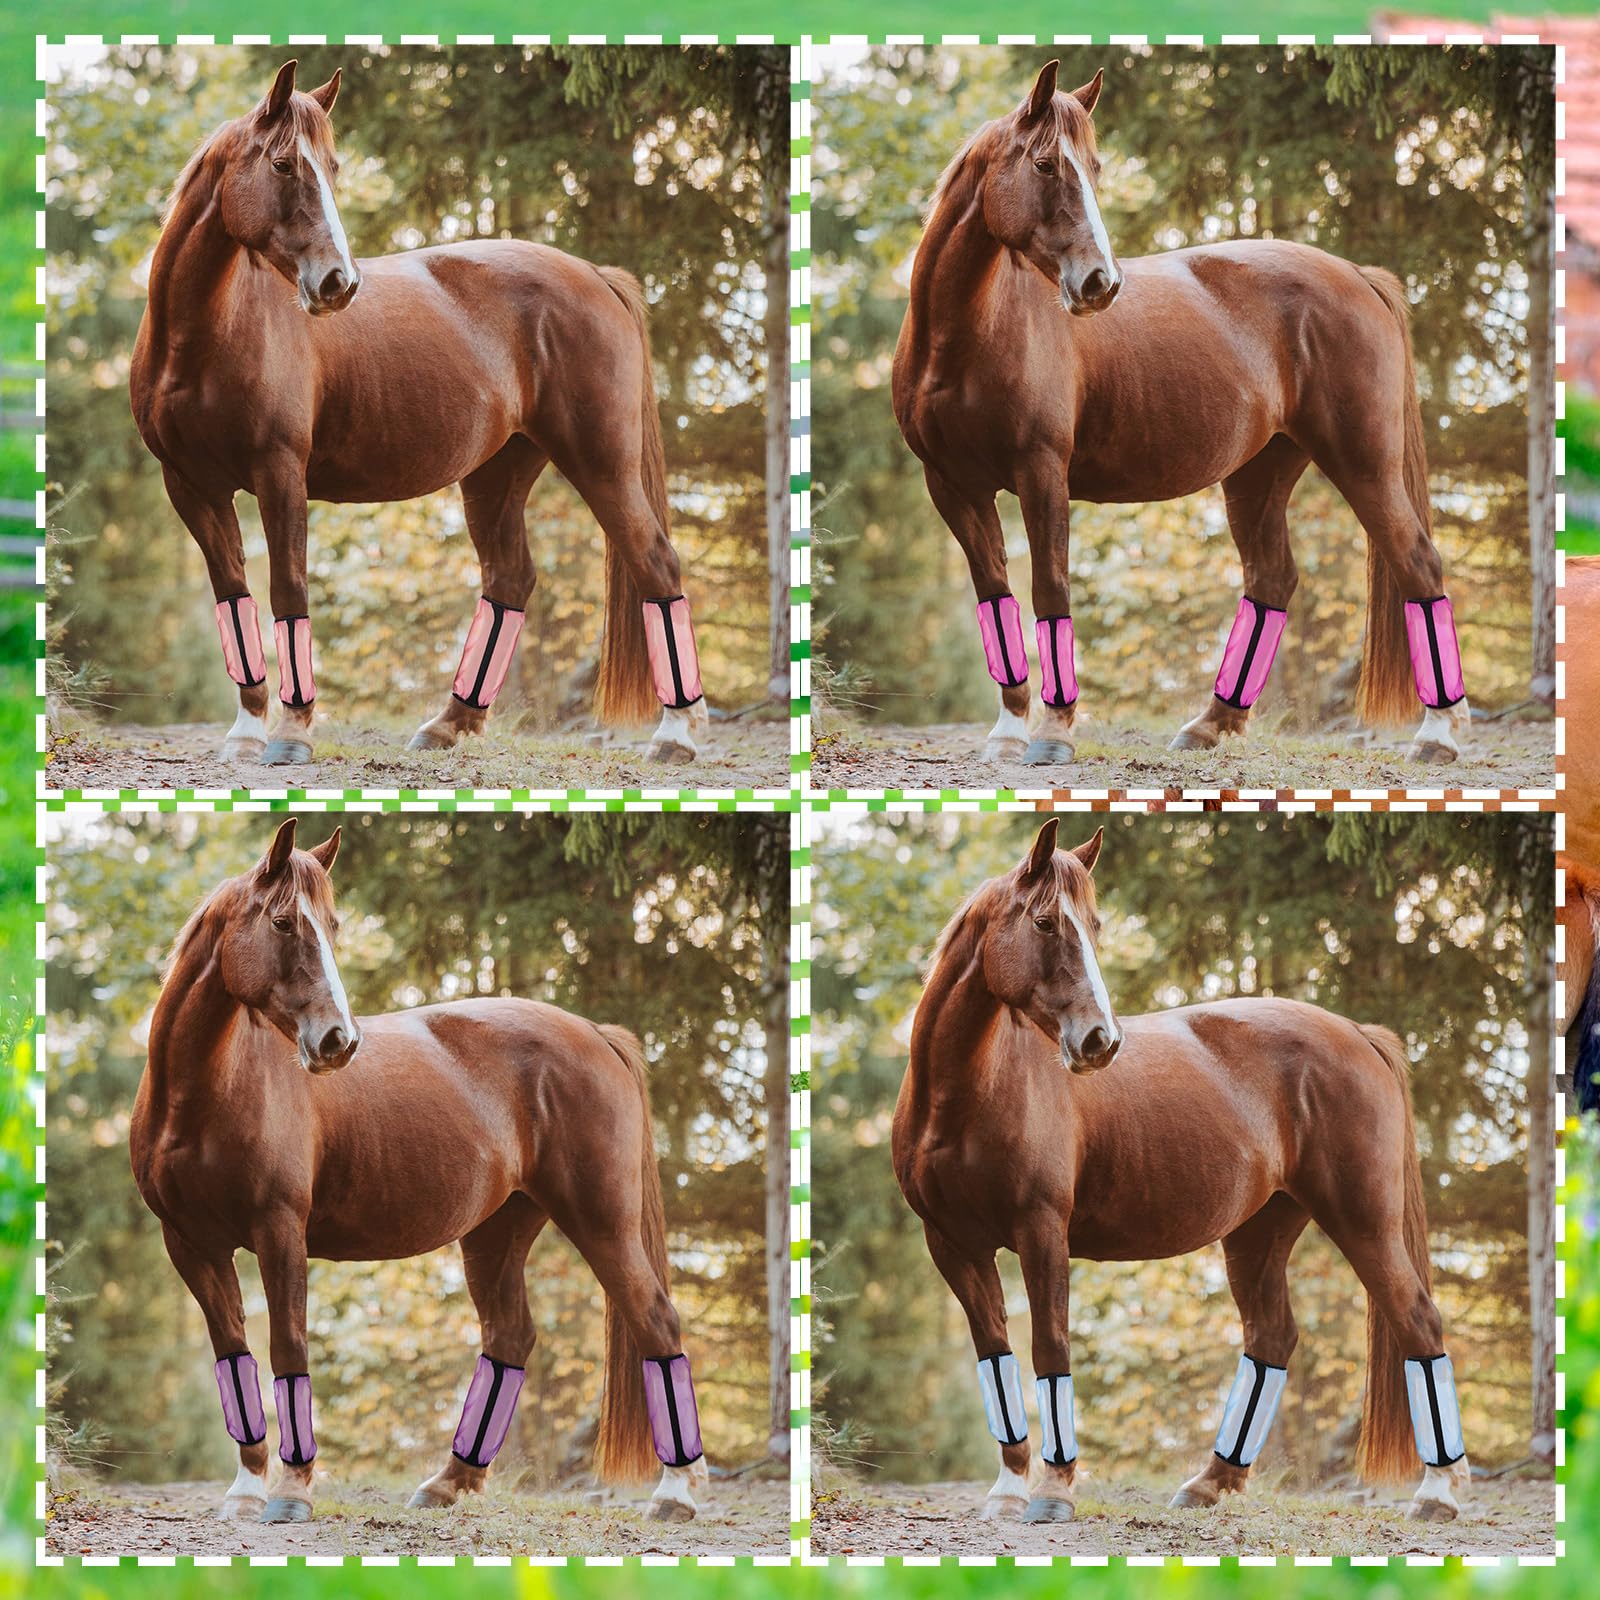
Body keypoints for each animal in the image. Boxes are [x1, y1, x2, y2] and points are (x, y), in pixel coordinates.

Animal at [129, 60, 710, 769]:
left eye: (333, 165)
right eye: (284, 164)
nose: (338, 284)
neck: (202, 339)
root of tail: (597, 276)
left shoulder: (279, 473)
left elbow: (288, 588)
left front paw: (292, 733)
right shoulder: (190, 487)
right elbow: (232, 595)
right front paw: (245, 731)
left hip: (603, 464)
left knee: (656, 563)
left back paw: (674, 736)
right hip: (498, 472)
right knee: (510, 577)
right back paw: (448, 723)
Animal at [129, 818, 710, 1526]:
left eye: (333, 923)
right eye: (284, 922)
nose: (338, 1042)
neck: (202, 1097)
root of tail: (597, 1035)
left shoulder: (279, 1231)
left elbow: (288, 1346)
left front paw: (292, 1491)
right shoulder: (190, 1245)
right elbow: (232, 1352)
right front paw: (245, 1489)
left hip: (603, 1222)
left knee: (655, 1320)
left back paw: (674, 1494)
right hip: (497, 1230)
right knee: (510, 1335)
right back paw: (449, 1482)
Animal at [891, 61, 1470, 769]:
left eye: (1095, 165)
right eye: (1046, 164)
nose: (1100, 284)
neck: (964, 338)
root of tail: (1358, 276)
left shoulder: (1041, 471)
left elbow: (1050, 588)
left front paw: (1054, 733)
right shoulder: (952, 486)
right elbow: (994, 594)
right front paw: (1007, 731)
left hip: (1364, 463)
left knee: (1418, 562)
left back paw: (1437, 736)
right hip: (1260, 472)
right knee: (1272, 577)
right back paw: (1210, 724)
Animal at [891, 819, 1472, 1526]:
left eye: (1095, 923)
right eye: (1046, 923)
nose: (1100, 1042)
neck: (964, 1097)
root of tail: (1358, 1035)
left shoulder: (1041, 1231)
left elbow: (1049, 1346)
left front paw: (1054, 1490)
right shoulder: (952, 1245)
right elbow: (994, 1353)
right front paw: (1008, 1488)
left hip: (1364, 1222)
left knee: (1418, 1320)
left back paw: (1437, 1493)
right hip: (1260, 1230)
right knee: (1272, 1335)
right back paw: (1211, 1482)